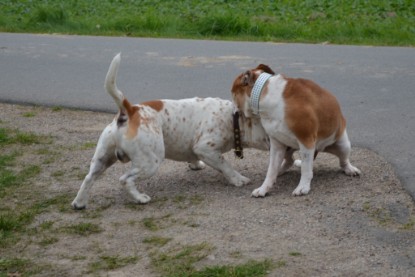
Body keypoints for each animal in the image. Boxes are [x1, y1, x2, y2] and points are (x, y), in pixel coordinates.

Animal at [70, 54, 270, 208]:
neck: (233, 118)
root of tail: (130, 110)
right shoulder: (206, 148)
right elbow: (225, 165)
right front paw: (238, 179)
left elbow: (193, 157)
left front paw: (195, 165)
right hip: (151, 162)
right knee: (125, 179)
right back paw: (140, 198)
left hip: (103, 158)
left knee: (88, 178)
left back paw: (79, 203)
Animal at [231, 63, 360, 197]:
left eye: (232, 93)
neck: (264, 94)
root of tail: (319, 149)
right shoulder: (276, 145)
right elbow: (271, 170)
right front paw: (264, 188)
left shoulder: (306, 140)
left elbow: (306, 169)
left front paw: (303, 187)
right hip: (287, 147)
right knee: (289, 161)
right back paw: (281, 170)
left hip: (343, 145)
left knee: (343, 161)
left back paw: (350, 169)